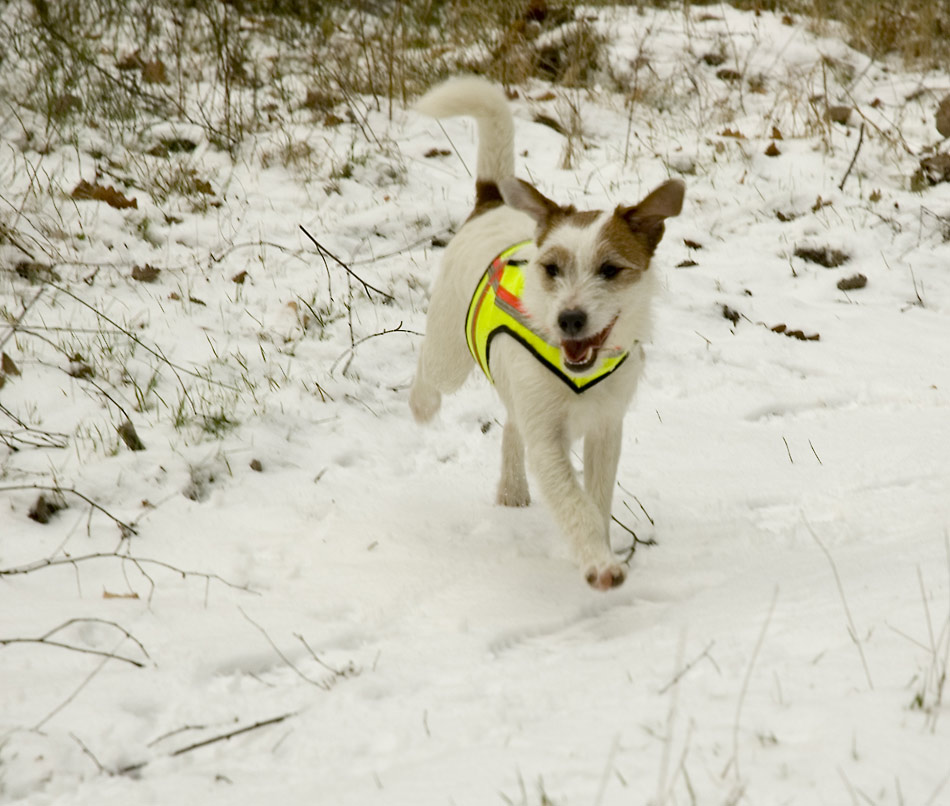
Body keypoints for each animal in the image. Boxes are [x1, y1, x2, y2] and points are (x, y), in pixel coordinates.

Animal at [410, 77, 684, 592]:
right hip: (450, 352)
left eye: (610, 269)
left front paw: (600, 547)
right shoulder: (547, 441)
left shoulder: (605, 429)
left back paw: (512, 489)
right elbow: (574, 503)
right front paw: (599, 563)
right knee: (431, 373)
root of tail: (492, 201)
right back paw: (422, 405)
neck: (575, 370)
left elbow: (595, 499)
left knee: (509, 427)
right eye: (551, 268)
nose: (569, 320)